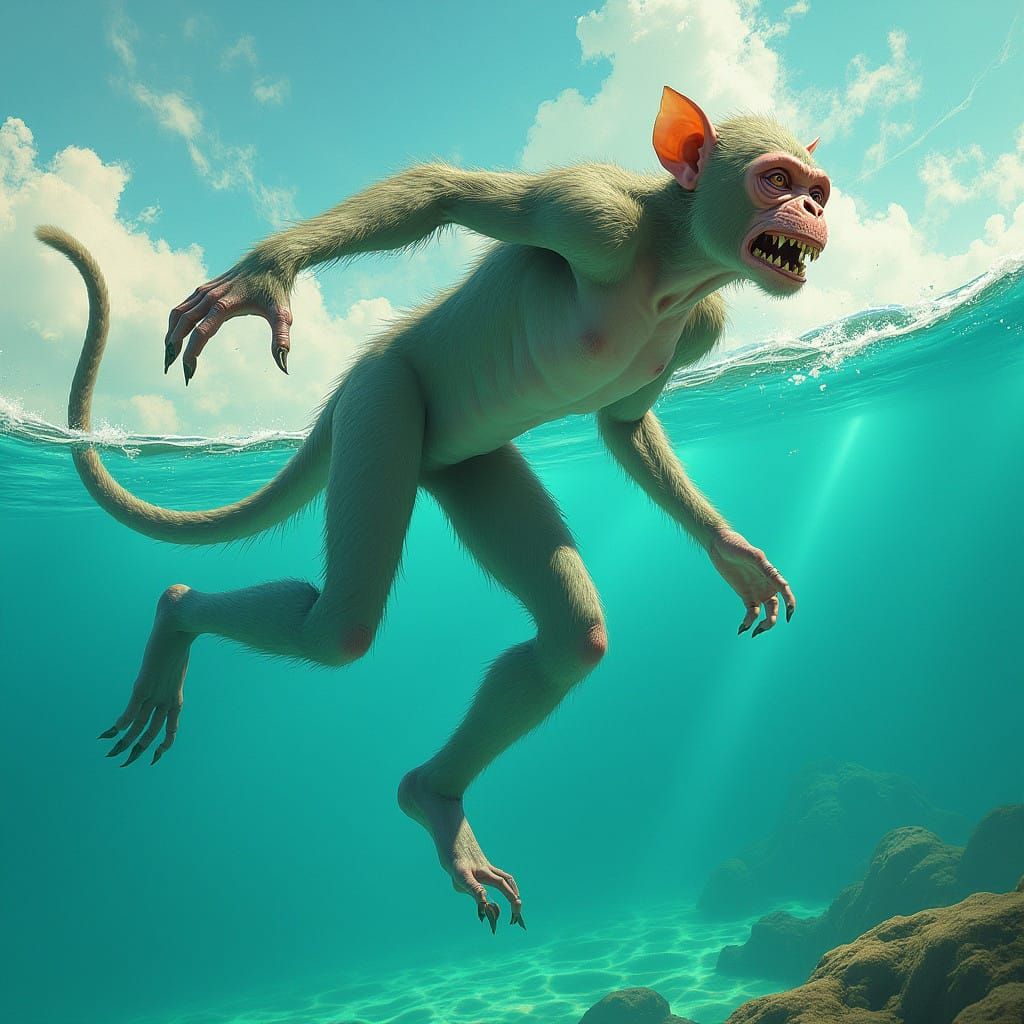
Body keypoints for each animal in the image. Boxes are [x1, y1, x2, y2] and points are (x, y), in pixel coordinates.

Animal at [36, 89, 827, 934]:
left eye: (818, 188)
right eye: (776, 179)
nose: (814, 210)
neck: (674, 272)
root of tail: (349, 386)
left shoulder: (702, 326)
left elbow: (623, 426)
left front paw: (733, 554)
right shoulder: (591, 215)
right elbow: (441, 190)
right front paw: (263, 277)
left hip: (461, 466)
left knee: (571, 636)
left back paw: (435, 799)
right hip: (381, 402)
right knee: (339, 627)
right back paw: (177, 612)